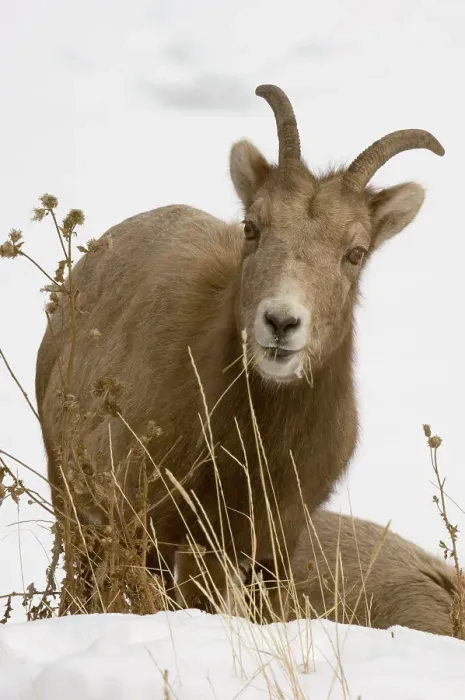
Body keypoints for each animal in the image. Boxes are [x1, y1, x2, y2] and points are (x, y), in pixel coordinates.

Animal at [35, 84, 444, 610]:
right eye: (252, 227)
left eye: (355, 253)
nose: (281, 322)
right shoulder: (156, 535)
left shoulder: (273, 549)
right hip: (77, 515)